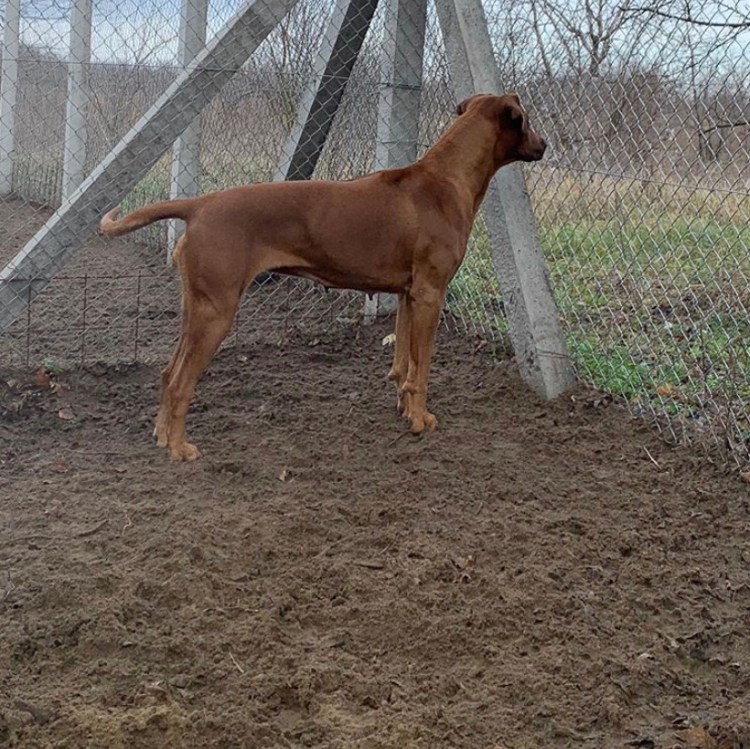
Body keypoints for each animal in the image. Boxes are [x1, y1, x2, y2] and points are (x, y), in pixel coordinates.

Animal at [100, 92, 547, 460]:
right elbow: (421, 370)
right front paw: (420, 420)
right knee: (180, 382)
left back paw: (162, 435)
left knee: (166, 373)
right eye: (527, 120)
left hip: (196, 309)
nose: (545, 145)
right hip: (216, 313)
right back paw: (179, 448)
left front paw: (404, 409)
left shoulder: (409, 296)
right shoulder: (431, 294)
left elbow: (402, 363)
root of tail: (201, 204)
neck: (446, 178)